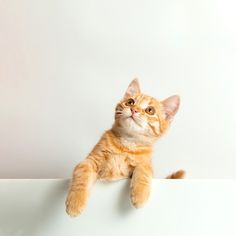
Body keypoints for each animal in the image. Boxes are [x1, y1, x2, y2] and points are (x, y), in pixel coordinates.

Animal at [65, 79, 185, 216]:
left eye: (150, 110)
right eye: (130, 102)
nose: (134, 110)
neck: (127, 144)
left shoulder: (145, 163)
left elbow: (144, 169)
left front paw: (140, 194)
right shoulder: (90, 160)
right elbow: (82, 172)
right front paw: (75, 203)